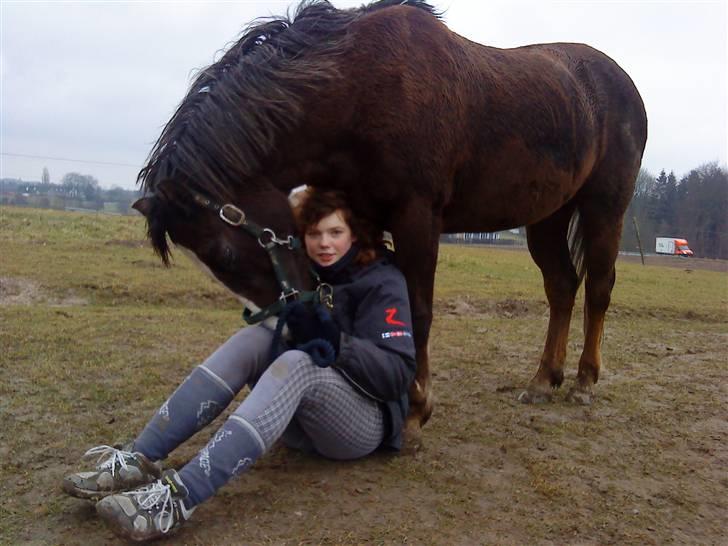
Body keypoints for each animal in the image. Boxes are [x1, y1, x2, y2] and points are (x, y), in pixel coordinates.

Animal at [132, 0, 648, 436]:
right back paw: (544, 379)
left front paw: (417, 409)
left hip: (605, 208)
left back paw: (584, 381)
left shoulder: (417, 216)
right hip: (547, 217)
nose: (296, 329)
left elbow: (417, 309)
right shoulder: (365, 215)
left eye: (224, 254)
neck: (360, 88)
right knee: (562, 286)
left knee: (599, 287)